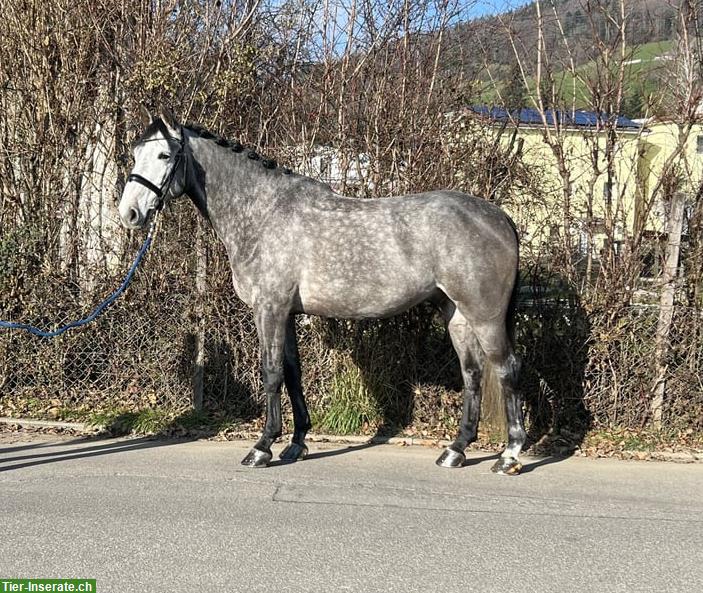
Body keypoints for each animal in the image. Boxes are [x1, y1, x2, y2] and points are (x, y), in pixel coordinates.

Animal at [118, 106, 524, 474]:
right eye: (136, 154)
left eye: (165, 155)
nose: (130, 213)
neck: (263, 213)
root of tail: (500, 217)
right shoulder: (288, 314)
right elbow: (293, 373)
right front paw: (296, 444)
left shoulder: (269, 309)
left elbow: (271, 373)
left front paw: (261, 448)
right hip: (456, 312)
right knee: (472, 373)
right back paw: (456, 450)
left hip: (484, 315)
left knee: (507, 369)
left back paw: (509, 456)